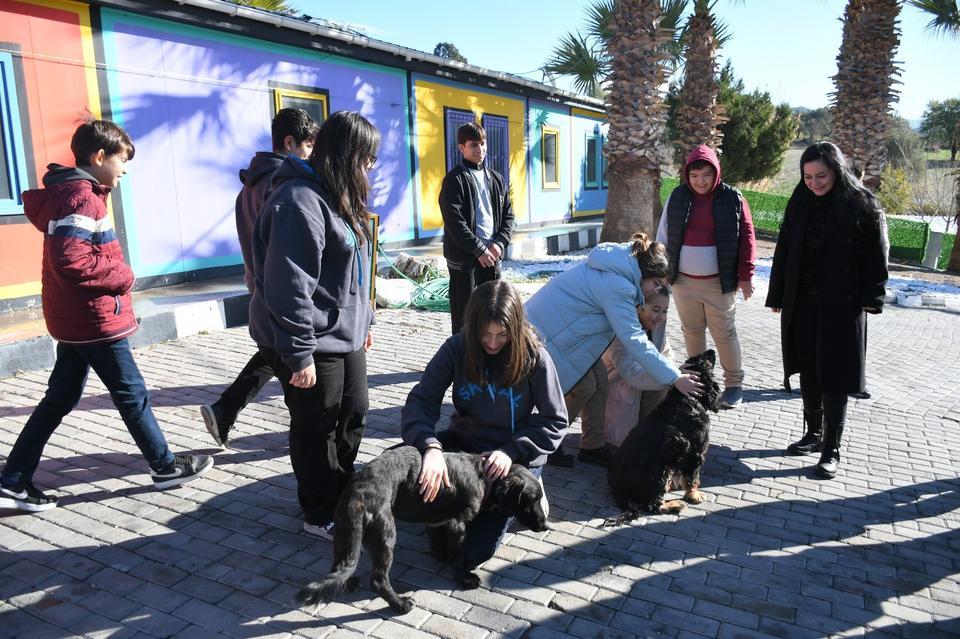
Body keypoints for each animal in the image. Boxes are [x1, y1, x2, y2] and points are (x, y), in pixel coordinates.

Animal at [296, 444, 548, 616]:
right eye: (531, 500)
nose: (545, 525)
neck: (484, 476)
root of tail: (358, 494)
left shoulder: (438, 521)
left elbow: (439, 542)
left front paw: (441, 556)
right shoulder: (458, 523)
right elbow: (458, 556)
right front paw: (464, 578)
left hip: (344, 533)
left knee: (339, 567)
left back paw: (348, 584)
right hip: (385, 536)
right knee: (378, 580)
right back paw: (401, 604)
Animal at [608, 350, 720, 524]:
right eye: (706, 362)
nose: (712, 351)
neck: (686, 399)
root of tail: (616, 487)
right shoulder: (695, 451)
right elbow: (693, 477)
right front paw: (694, 495)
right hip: (660, 471)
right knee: (652, 505)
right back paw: (674, 504)